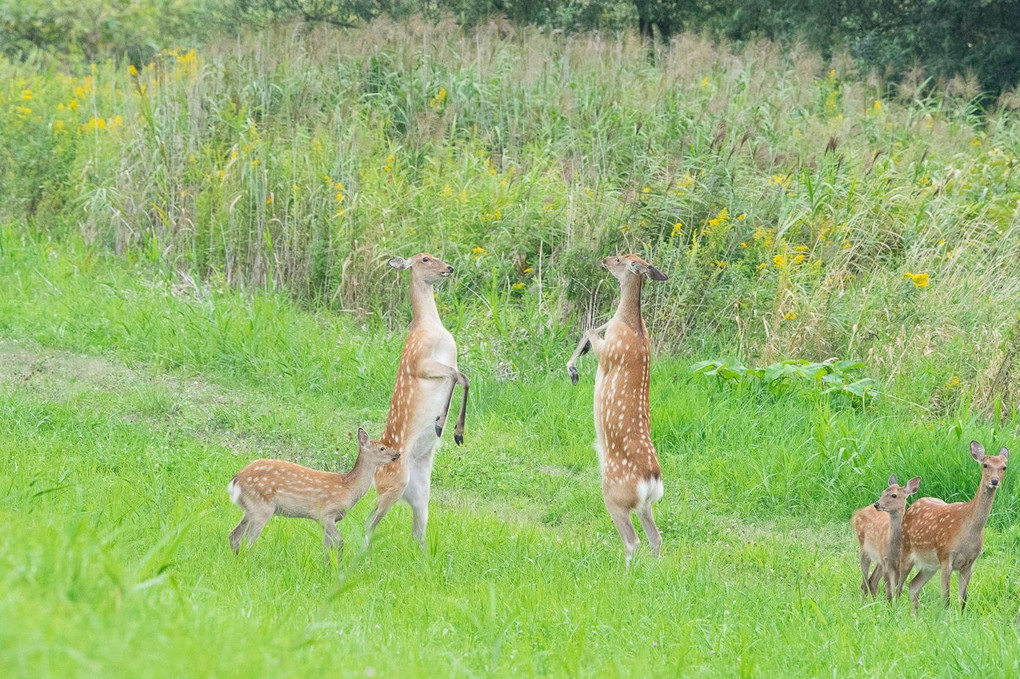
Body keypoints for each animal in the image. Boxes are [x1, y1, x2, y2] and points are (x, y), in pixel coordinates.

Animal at [227, 426, 397, 554]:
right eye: (382, 448)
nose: (398, 454)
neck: (348, 488)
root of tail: (235, 480)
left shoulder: (330, 519)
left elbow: (329, 545)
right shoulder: (324, 513)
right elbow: (339, 542)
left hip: (250, 509)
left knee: (233, 535)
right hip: (261, 507)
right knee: (247, 540)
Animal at [363, 252, 467, 546]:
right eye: (425, 259)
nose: (450, 268)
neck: (432, 327)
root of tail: (375, 474)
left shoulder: (450, 360)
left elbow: (462, 376)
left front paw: (453, 429)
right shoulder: (419, 362)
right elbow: (458, 376)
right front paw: (443, 424)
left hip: (420, 490)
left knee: (417, 527)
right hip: (394, 482)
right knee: (368, 520)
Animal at [567, 252, 669, 566]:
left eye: (620, 258)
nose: (603, 259)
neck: (632, 325)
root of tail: (652, 480)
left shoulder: (611, 350)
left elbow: (589, 329)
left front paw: (573, 369)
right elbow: (592, 326)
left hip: (614, 494)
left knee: (632, 540)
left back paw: (624, 571)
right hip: (646, 504)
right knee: (656, 537)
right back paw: (654, 569)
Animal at [897, 442, 1007, 611]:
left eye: (1004, 467)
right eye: (985, 465)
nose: (994, 481)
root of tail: (911, 507)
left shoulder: (969, 564)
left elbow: (963, 600)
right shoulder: (945, 556)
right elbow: (946, 600)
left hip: (930, 565)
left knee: (913, 585)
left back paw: (914, 614)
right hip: (906, 550)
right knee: (897, 585)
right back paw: (891, 609)